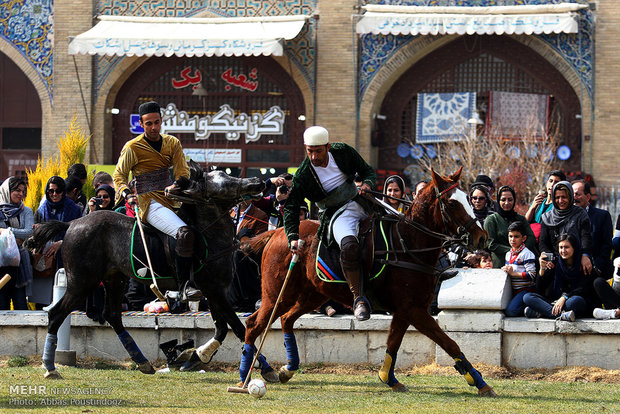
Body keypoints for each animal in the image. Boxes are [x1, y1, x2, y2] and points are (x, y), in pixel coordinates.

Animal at [25, 163, 264, 378]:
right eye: (224, 181)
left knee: (112, 315)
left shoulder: (214, 291)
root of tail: (71, 224)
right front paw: (264, 367)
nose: (257, 181)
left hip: (114, 279)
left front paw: (196, 357)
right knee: (56, 314)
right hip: (82, 282)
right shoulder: (213, 290)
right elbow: (238, 328)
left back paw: (142, 362)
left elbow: (222, 329)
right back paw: (50, 367)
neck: (209, 235)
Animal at [237, 167, 498, 396]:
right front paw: (481, 383)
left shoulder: (406, 310)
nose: (481, 236)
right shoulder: (414, 310)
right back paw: (245, 378)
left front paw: (389, 379)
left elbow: (393, 343)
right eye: (452, 203)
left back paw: (287, 369)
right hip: (277, 294)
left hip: (312, 295)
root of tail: (278, 232)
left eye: (469, 199)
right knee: (254, 324)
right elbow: (449, 343)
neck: (408, 243)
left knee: (286, 319)